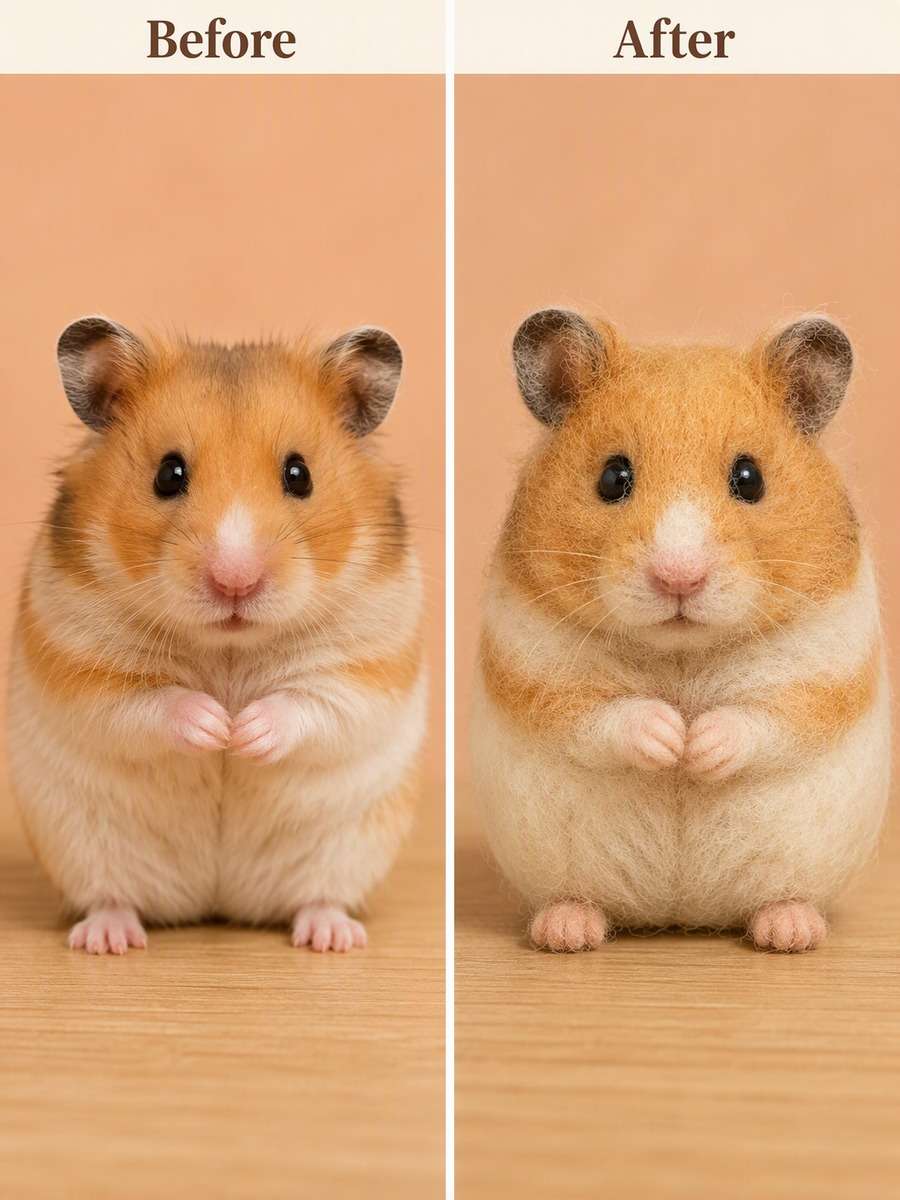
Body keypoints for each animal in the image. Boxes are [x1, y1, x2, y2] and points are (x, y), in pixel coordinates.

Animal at [8, 316, 426, 954]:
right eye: (168, 474)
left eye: (299, 474)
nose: (235, 581)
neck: (229, 646)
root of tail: (218, 901)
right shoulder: (80, 658)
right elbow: (148, 703)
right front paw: (215, 728)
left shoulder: (367, 661)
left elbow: (312, 703)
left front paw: (243, 733)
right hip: (81, 847)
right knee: (111, 897)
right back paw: (108, 938)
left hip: (348, 849)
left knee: (318, 896)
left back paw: (331, 936)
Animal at [471, 309, 889, 953]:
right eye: (612, 477)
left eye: (750, 477)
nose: (679, 577)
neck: (682, 652)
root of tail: (683, 914)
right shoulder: (535, 664)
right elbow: (602, 713)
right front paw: (672, 741)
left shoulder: (823, 667)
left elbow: (765, 716)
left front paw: (698, 749)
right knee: (578, 900)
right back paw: (566, 930)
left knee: (779, 898)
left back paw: (789, 930)